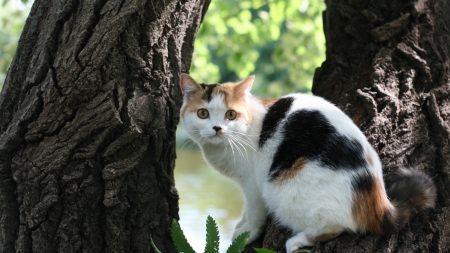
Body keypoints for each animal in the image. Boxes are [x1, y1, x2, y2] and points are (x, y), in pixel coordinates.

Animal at [178, 73, 436, 253]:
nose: (217, 128)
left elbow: (254, 211)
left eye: (230, 115)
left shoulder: (253, 184)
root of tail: (378, 201)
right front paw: (241, 222)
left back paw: (297, 241)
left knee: (337, 226)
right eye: (203, 113)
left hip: (282, 190)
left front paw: (248, 232)